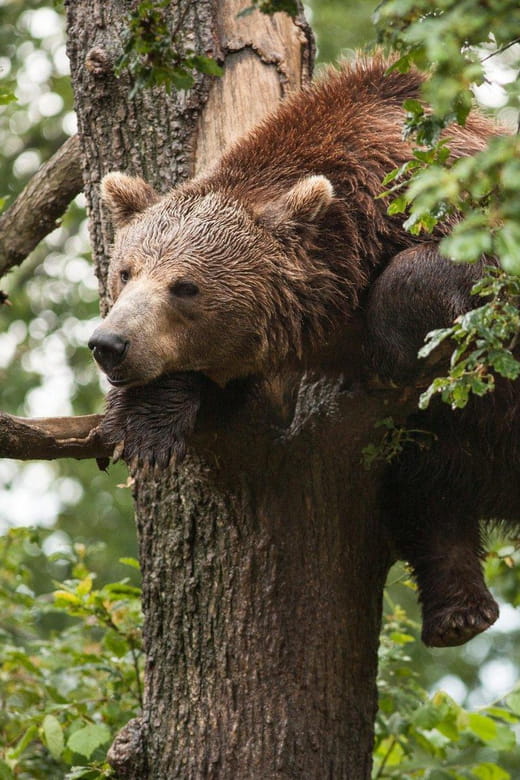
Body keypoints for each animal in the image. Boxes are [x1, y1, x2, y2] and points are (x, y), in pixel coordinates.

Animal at [89, 54, 512, 648]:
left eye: (185, 286)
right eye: (126, 271)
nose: (110, 344)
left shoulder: (451, 197)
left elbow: (453, 273)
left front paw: (395, 346)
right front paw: (145, 422)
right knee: (429, 495)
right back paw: (460, 613)